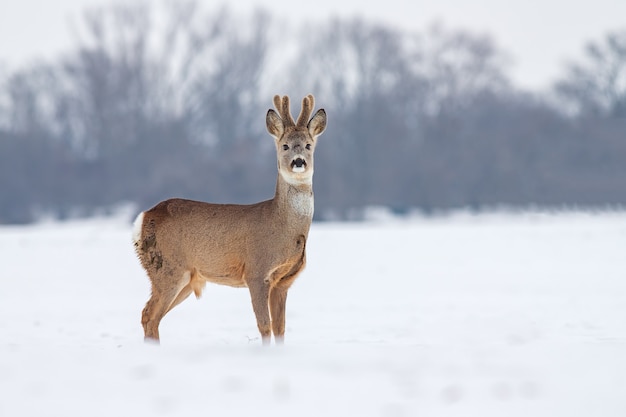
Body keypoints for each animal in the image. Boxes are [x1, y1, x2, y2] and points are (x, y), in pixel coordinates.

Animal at [132, 94, 326, 344]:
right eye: (285, 145)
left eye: (309, 145)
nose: (299, 161)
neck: (283, 227)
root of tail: (144, 217)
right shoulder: (256, 271)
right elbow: (265, 326)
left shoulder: (284, 281)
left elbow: (280, 328)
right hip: (167, 268)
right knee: (149, 314)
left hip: (187, 278)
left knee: (150, 316)